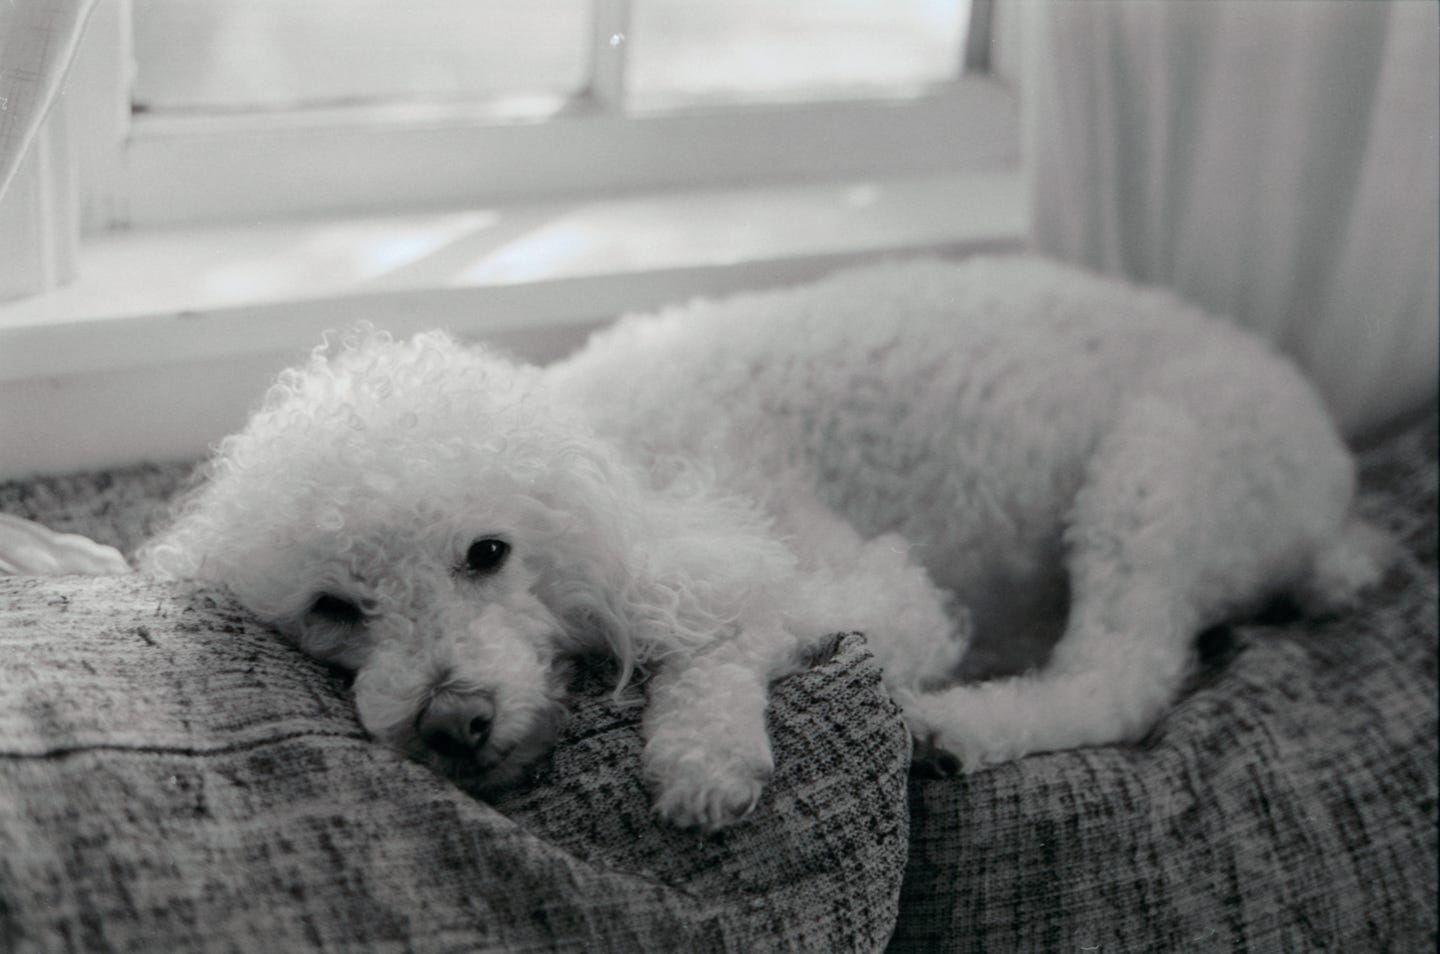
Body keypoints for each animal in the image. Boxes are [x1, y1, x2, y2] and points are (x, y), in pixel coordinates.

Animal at [140, 256, 1388, 831]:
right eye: (334, 609)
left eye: (487, 553)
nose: (452, 724)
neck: (620, 460)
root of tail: (1329, 492)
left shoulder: (875, 588)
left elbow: (733, 622)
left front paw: (703, 750)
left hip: (1158, 467)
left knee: (1123, 675)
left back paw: (964, 730)